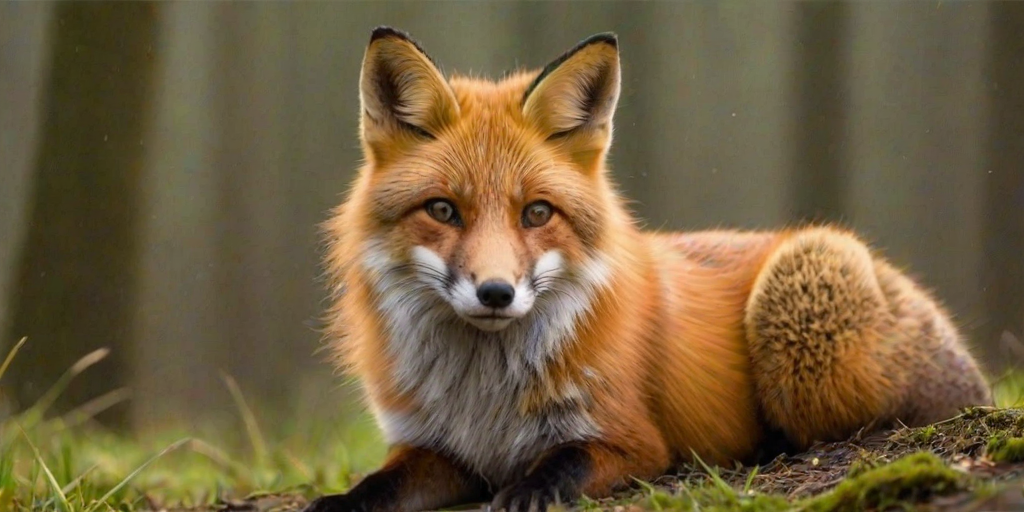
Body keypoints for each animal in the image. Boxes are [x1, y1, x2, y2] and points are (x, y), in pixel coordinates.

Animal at [303, 27, 994, 512]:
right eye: (443, 210)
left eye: (536, 213)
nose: (496, 293)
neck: (484, 398)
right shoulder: (434, 447)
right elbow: (377, 487)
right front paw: (339, 502)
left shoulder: (631, 440)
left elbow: (563, 465)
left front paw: (529, 490)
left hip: (802, 310)